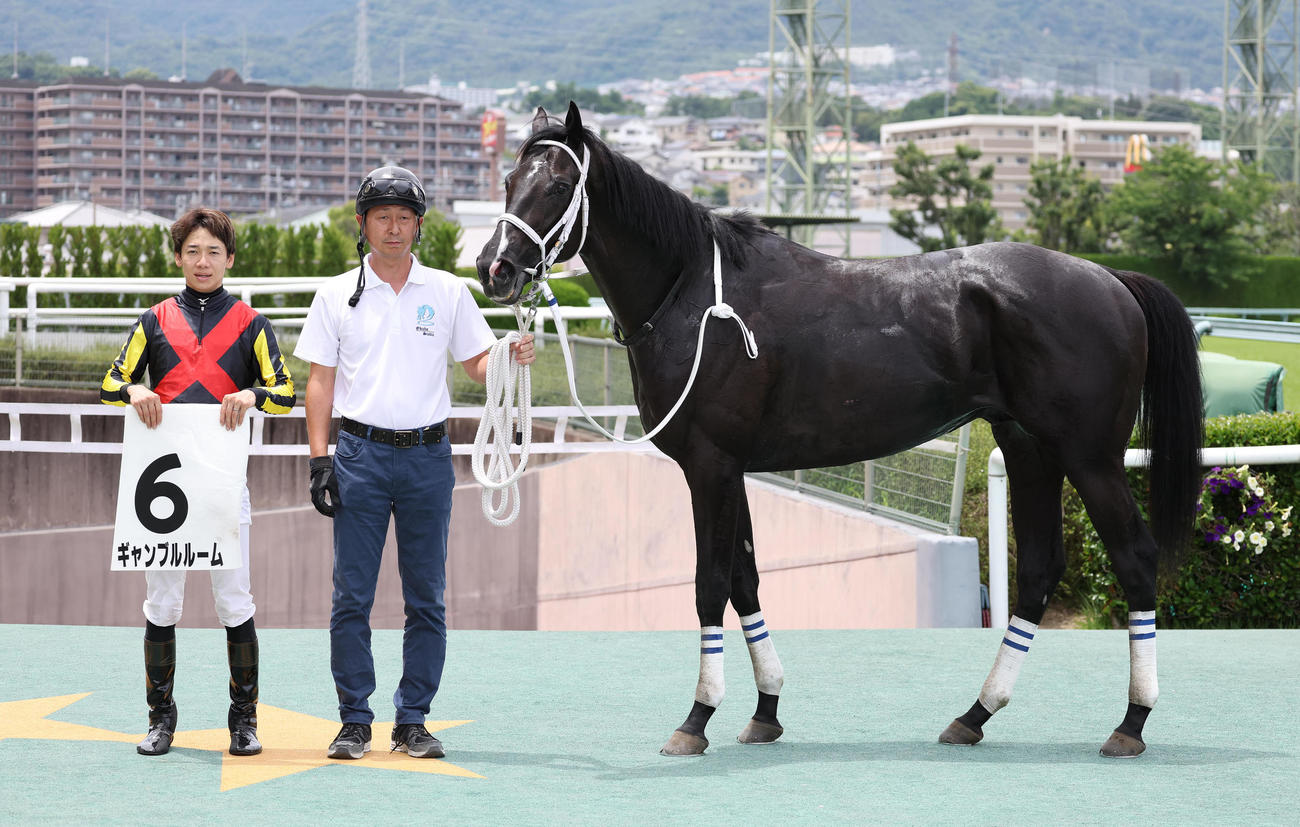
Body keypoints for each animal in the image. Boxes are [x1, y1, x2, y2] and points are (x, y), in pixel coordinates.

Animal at [476, 102, 1203, 758]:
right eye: (510, 181)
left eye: (559, 186)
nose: (495, 269)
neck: (694, 294)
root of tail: (1111, 278)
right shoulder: (734, 468)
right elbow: (746, 580)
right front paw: (765, 710)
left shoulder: (709, 466)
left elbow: (710, 583)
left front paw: (696, 718)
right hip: (1029, 449)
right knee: (1039, 570)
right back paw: (975, 713)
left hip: (1091, 457)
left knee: (1135, 560)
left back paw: (1131, 722)